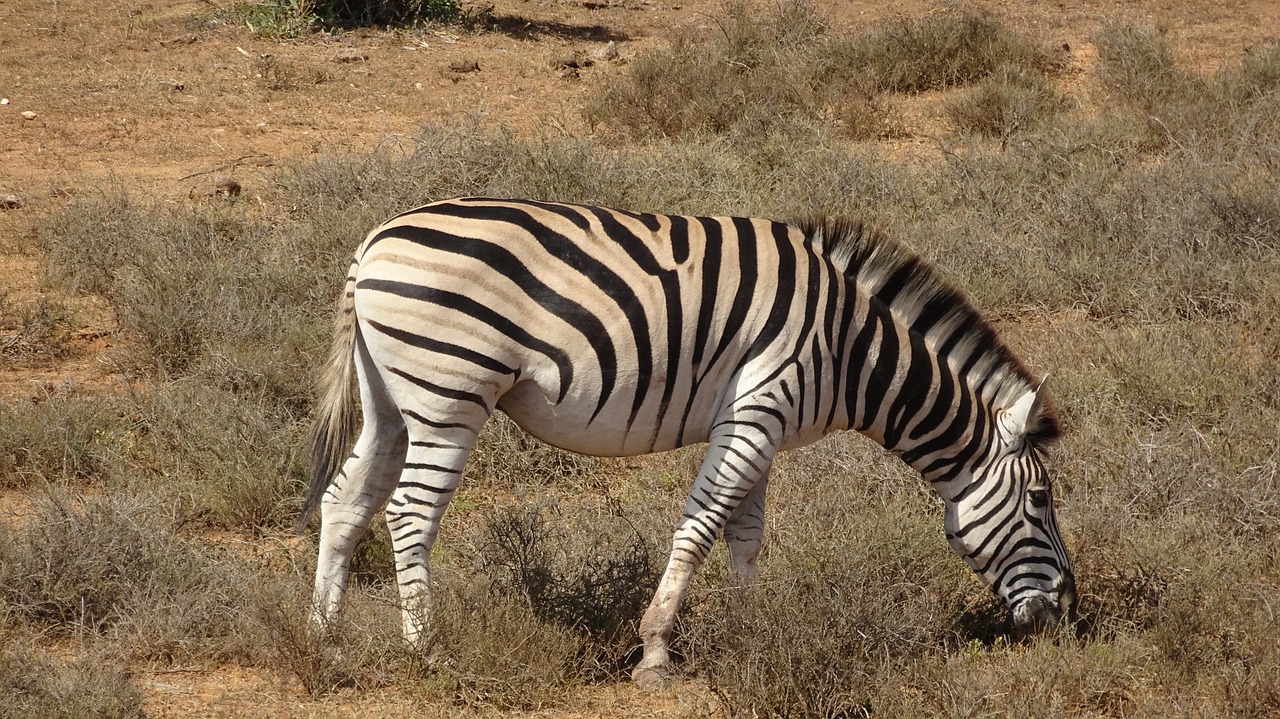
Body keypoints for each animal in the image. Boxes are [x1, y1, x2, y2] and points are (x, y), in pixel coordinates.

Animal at [296, 194, 1070, 680]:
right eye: (1041, 500)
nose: (1066, 611)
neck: (851, 347)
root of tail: (372, 244)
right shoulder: (761, 405)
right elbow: (699, 527)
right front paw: (655, 650)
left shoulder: (762, 421)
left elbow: (746, 535)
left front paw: (751, 628)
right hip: (448, 391)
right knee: (408, 512)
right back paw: (426, 650)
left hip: (388, 397)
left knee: (346, 500)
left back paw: (324, 637)